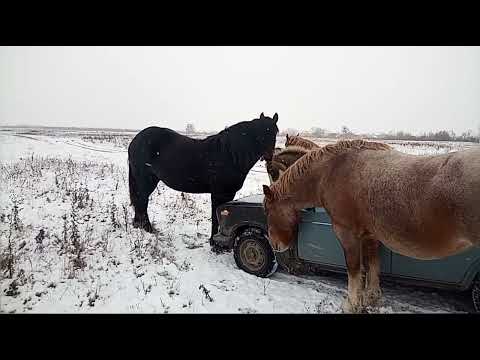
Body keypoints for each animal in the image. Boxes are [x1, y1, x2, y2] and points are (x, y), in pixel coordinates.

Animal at [127, 112, 280, 248]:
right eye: (259, 133)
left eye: (275, 132)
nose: (268, 157)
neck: (230, 154)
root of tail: (135, 140)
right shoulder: (218, 194)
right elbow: (216, 216)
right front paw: (215, 243)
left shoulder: (228, 194)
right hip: (146, 180)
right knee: (142, 201)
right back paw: (147, 228)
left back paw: (140, 226)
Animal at [262, 139, 480, 314]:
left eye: (267, 211)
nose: (275, 244)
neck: (329, 172)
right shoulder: (370, 236)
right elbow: (372, 265)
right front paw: (371, 298)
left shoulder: (347, 233)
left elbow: (354, 268)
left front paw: (351, 304)